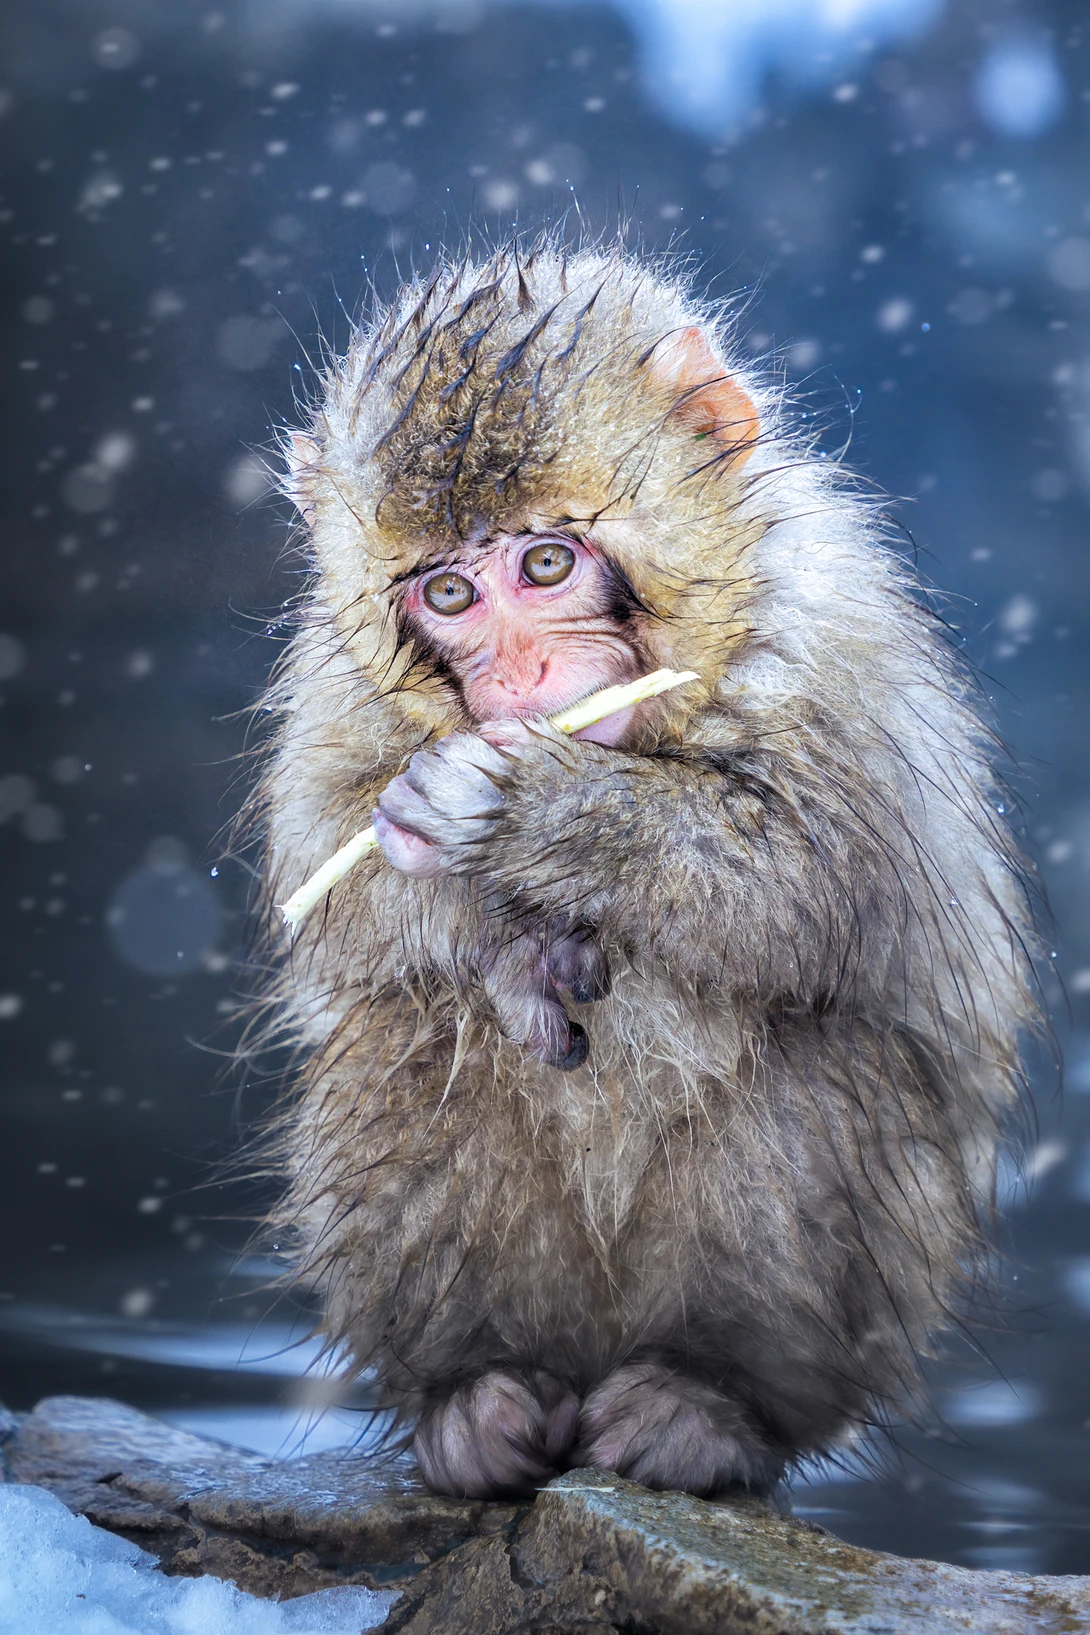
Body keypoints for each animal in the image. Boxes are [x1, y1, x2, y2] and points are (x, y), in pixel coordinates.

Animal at [252, 240, 1039, 1502]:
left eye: (546, 562)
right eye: (449, 593)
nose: (520, 674)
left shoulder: (831, 631)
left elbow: (815, 881)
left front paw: (520, 809)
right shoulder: (335, 684)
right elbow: (329, 858)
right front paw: (498, 924)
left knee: (817, 1062)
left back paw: (706, 1407)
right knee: (407, 1037)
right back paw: (473, 1401)